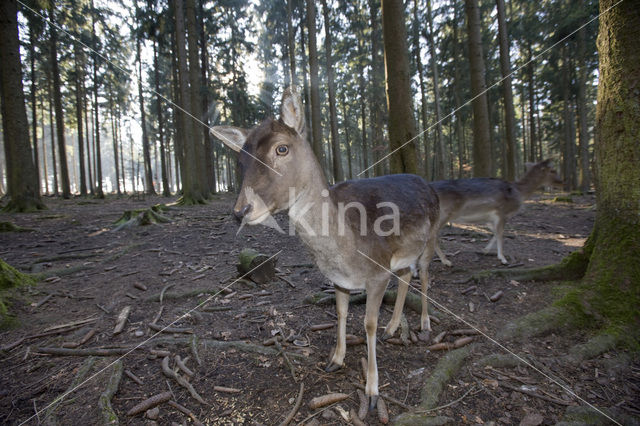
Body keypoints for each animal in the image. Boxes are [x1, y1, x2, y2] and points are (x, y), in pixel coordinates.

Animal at [210, 86, 440, 410]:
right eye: (240, 159)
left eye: (282, 149)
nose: (241, 210)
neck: (346, 249)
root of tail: (430, 185)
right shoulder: (339, 279)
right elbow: (341, 313)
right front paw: (336, 360)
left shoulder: (378, 271)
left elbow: (368, 323)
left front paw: (372, 391)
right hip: (404, 254)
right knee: (407, 276)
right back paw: (393, 328)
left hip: (431, 239)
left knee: (426, 277)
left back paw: (425, 325)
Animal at [432, 160, 564, 266]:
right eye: (553, 170)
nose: (562, 181)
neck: (519, 193)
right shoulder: (502, 212)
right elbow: (501, 234)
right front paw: (503, 258)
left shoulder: (490, 218)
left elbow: (495, 232)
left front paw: (485, 250)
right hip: (444, 214)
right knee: (434, 236)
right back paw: (446, 261)